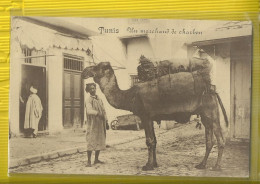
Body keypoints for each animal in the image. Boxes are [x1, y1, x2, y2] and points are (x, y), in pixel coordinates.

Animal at [81, 61, 228, 171]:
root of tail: (212, 89)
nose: (84, 72)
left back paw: (216, 166)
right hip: (204, 115)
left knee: (220, 139)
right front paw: (155, 164)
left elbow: (149, 141)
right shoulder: (151, 118)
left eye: (97, 67)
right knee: (209, 140)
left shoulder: (145, 116)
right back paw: (201, 165)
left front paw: (147, 166)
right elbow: (155, 141)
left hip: (211, 111)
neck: (130, 96)